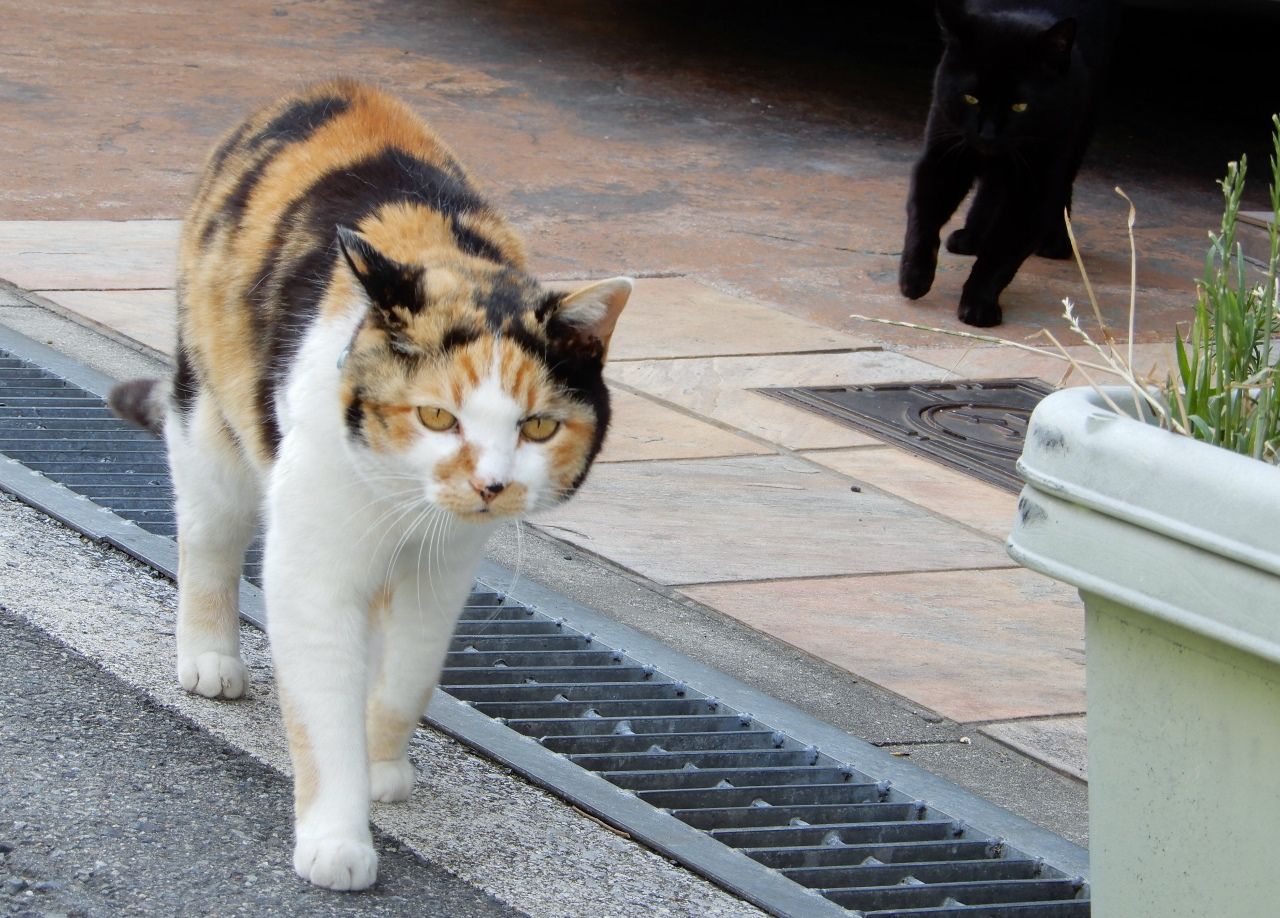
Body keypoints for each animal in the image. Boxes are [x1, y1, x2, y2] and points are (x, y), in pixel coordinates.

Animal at [108, 78, 629, 885]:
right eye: (436, 416)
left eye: (539, 428)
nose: (490, 485)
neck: (403, 504)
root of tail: (335, 87)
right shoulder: (314, 566)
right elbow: (323, 703)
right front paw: (337, 840)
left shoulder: (441, 574)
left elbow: (409, 672)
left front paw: (381, 767)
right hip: (208, 416)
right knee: (209, 536)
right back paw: (210, 658)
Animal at [896, 0, 1116, 327]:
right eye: (971, 98)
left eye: (1020, 106)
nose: (987, 133)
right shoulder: (943, 157)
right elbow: (923, 217)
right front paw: (914, 276)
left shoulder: (1034, 184)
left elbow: (1002, 251)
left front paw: (978, 304)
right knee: (991, 187)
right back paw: (971, 236)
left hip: (1078, 132)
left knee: (1061, 183)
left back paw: (1056, 241)